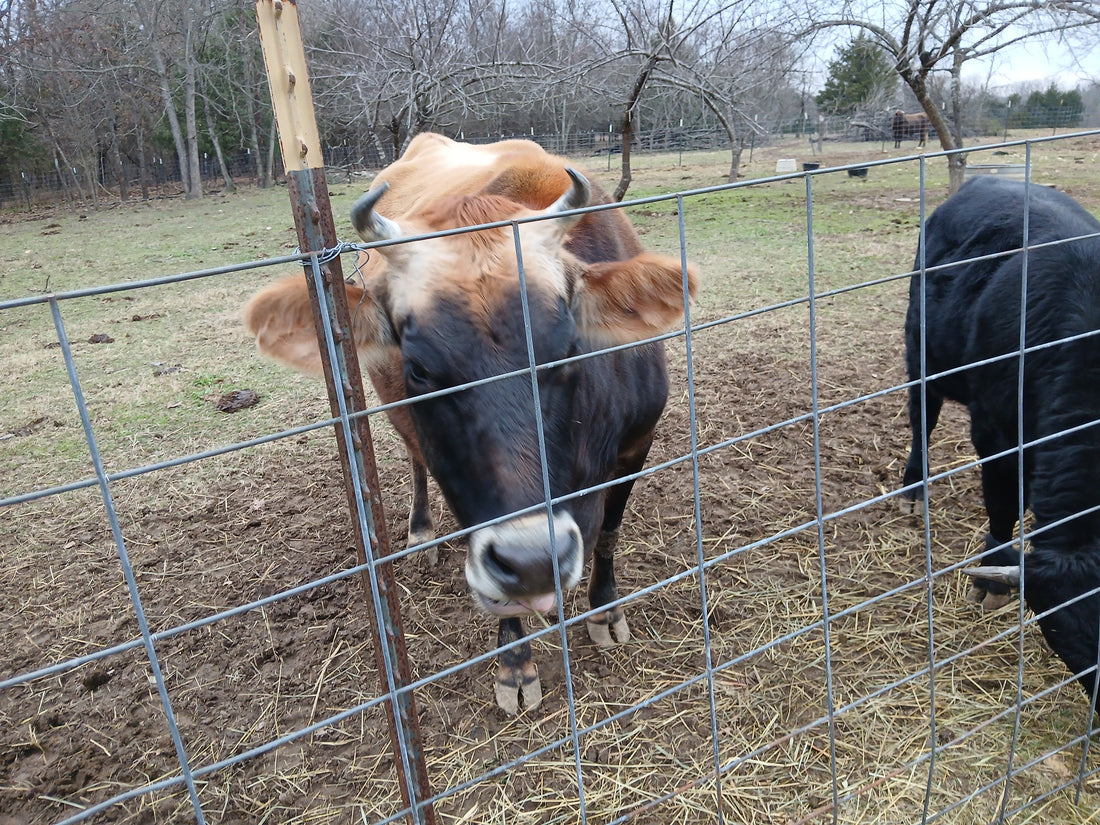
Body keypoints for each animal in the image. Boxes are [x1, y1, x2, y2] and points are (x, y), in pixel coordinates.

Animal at [244, 134, 698, 713]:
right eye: (419, 367)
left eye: (568, 348)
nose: (534, 559)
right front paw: (516, 665)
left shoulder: (636, 445)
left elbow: (609, 533)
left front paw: (606, 611)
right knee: (414, 458)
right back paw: (421, 532)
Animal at [900, 175, 1100, 700]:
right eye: (1065, 632)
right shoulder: (995, 433)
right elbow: (1003, 503)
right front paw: (991, 580)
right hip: (921, 354)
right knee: (922, 419)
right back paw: (913, 489)